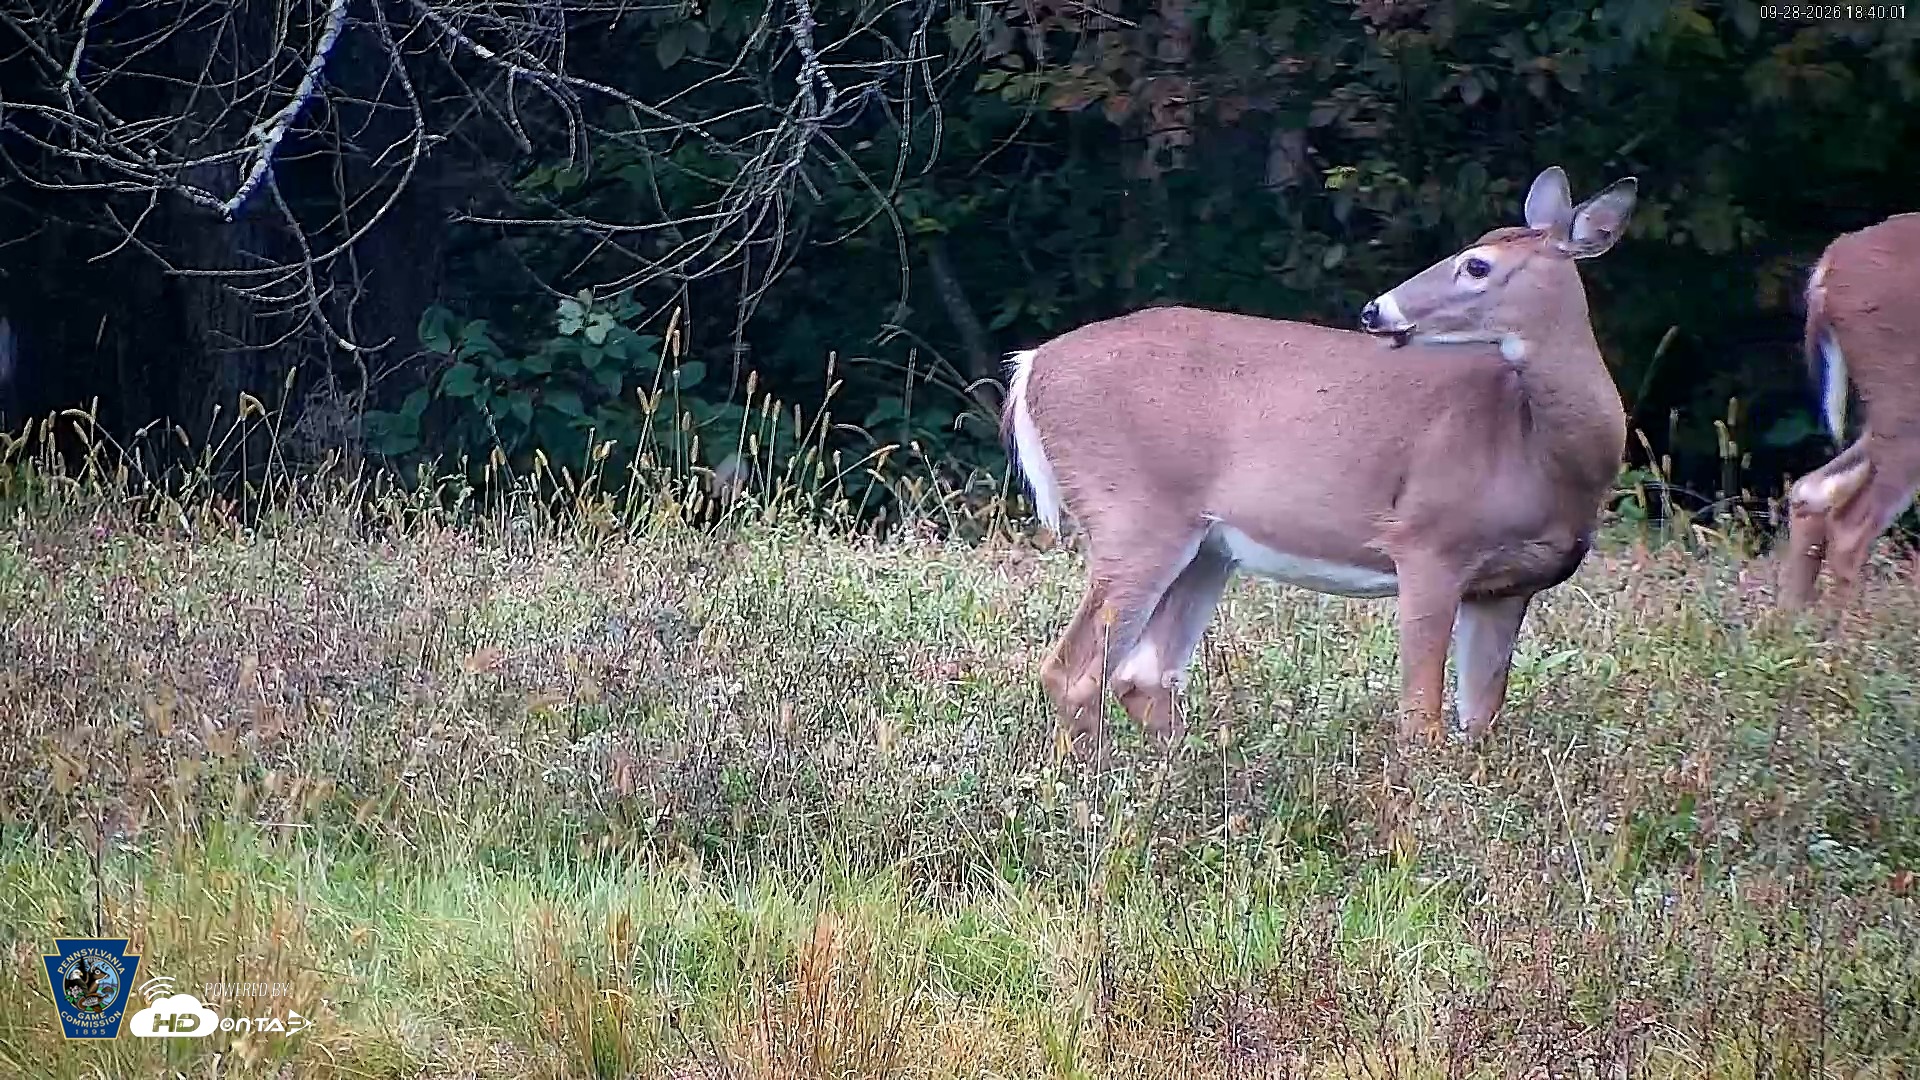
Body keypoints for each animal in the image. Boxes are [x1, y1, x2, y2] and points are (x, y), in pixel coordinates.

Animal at [1001, 166, 1637, 755]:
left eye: (1477, 265)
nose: (1375, 311)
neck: (1538, 451)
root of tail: (1032, 364)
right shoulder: (1428, 543)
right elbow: (1421, 719)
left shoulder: (1507, 588)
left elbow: (1479, 720)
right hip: (1134, 510)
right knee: (1075, 670)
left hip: (1208, 546)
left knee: (1143, 674)